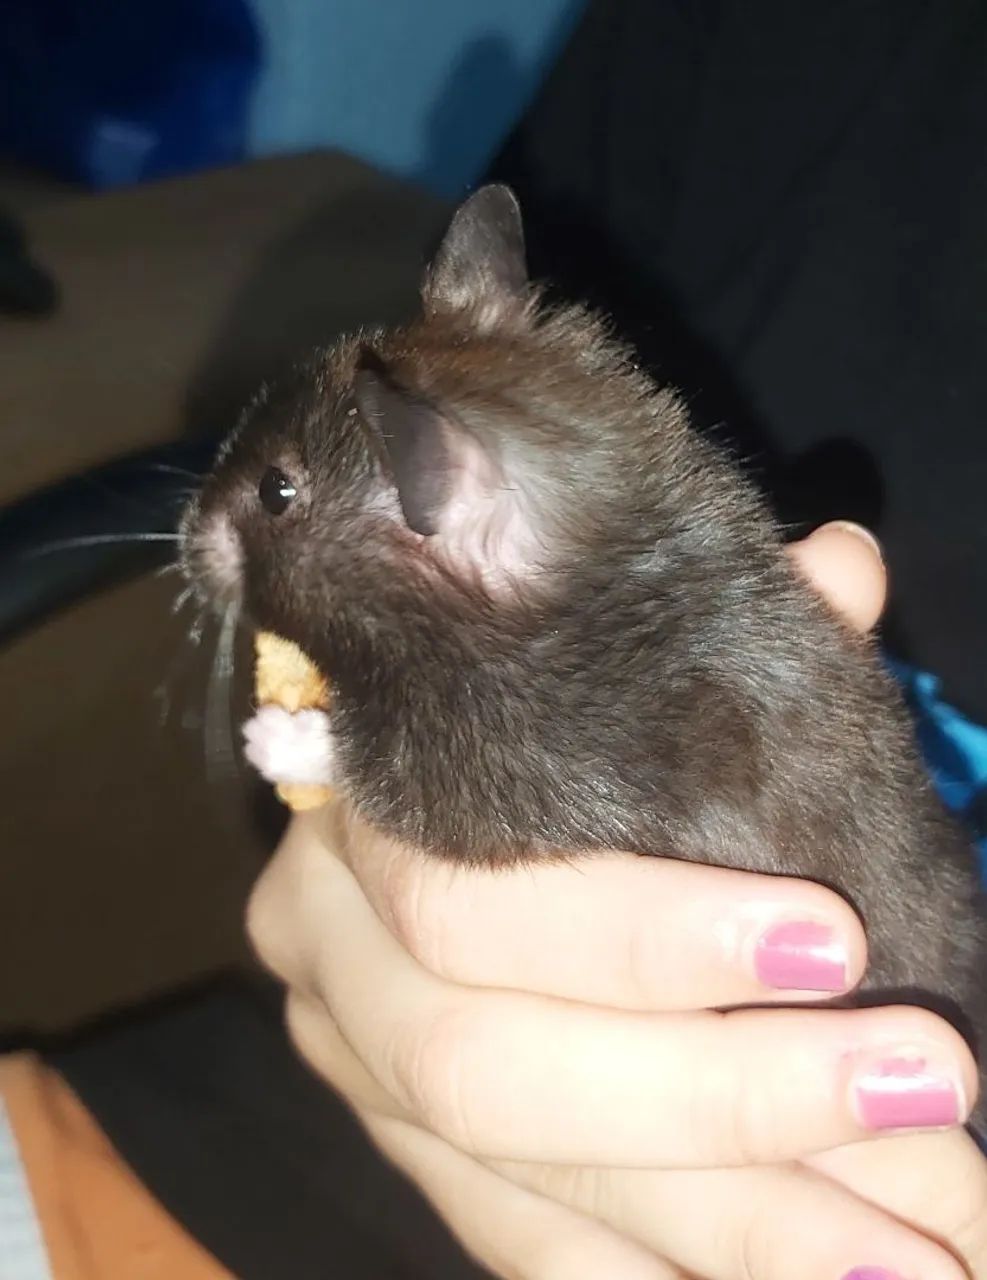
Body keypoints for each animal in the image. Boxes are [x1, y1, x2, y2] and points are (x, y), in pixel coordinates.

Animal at [181, 185, 987, 1126]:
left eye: (276, 492)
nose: (185, 538)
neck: (602, 570)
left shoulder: (496, 778)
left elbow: (376, 775)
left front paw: (271, 736)